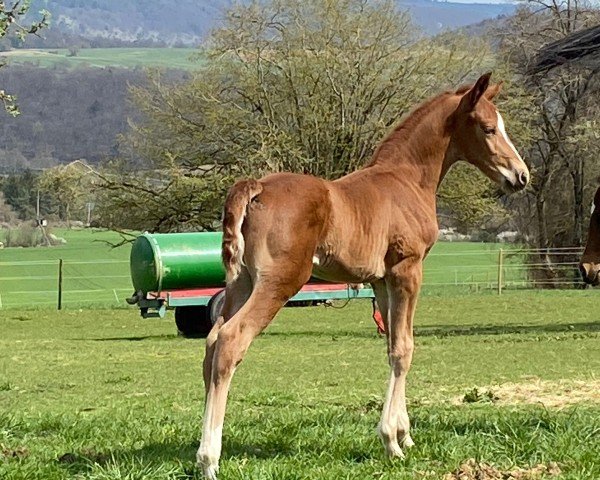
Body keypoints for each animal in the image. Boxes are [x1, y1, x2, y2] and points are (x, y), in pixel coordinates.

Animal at [198, 70, 528, 476]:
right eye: (488, 128)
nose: (522, 176)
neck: (406, 180)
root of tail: (256, 186)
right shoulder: (408, 270)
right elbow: (405, 348)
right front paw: (391, 442)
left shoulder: (382, 281)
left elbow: (391, 345)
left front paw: (404, 434)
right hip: (279, 282)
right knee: (231, 341)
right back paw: (209, 460)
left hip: (241, 281)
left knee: (212, 342)